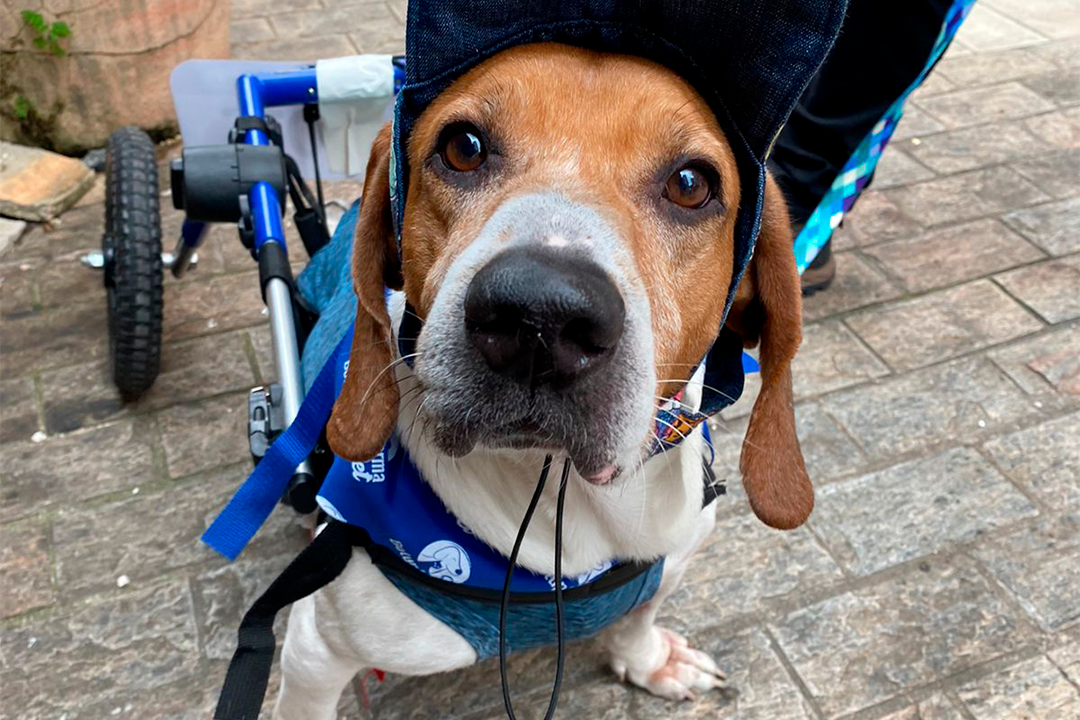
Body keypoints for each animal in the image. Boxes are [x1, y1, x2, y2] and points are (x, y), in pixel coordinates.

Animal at [272, 43, 812, 720]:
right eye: (463, 147)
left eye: (691, 185)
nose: (540, 316)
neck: (562, 494)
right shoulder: (315, 651)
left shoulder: (676, 551)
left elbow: (642, 610)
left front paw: (646, 661)